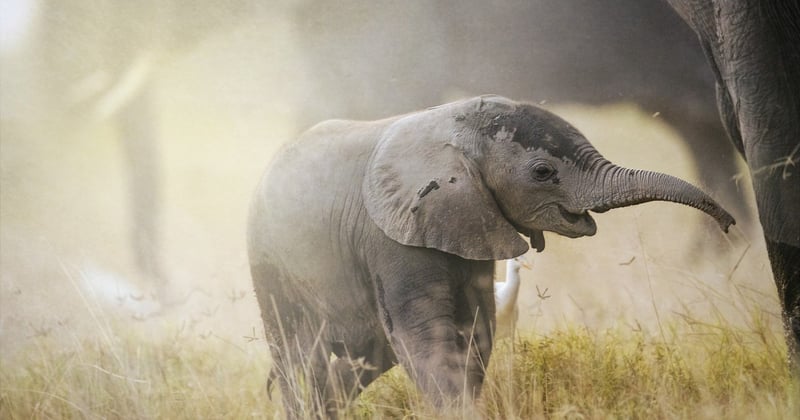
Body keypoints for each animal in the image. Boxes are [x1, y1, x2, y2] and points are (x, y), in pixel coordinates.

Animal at [247, 95, 734, 417]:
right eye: (543, 172)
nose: (728, 222)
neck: (454, 128)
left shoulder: (471, 225)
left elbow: (476, 330)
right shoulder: (390, 239)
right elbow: (426, 336)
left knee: (367, 354)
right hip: (267, 259)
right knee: (297, 354)